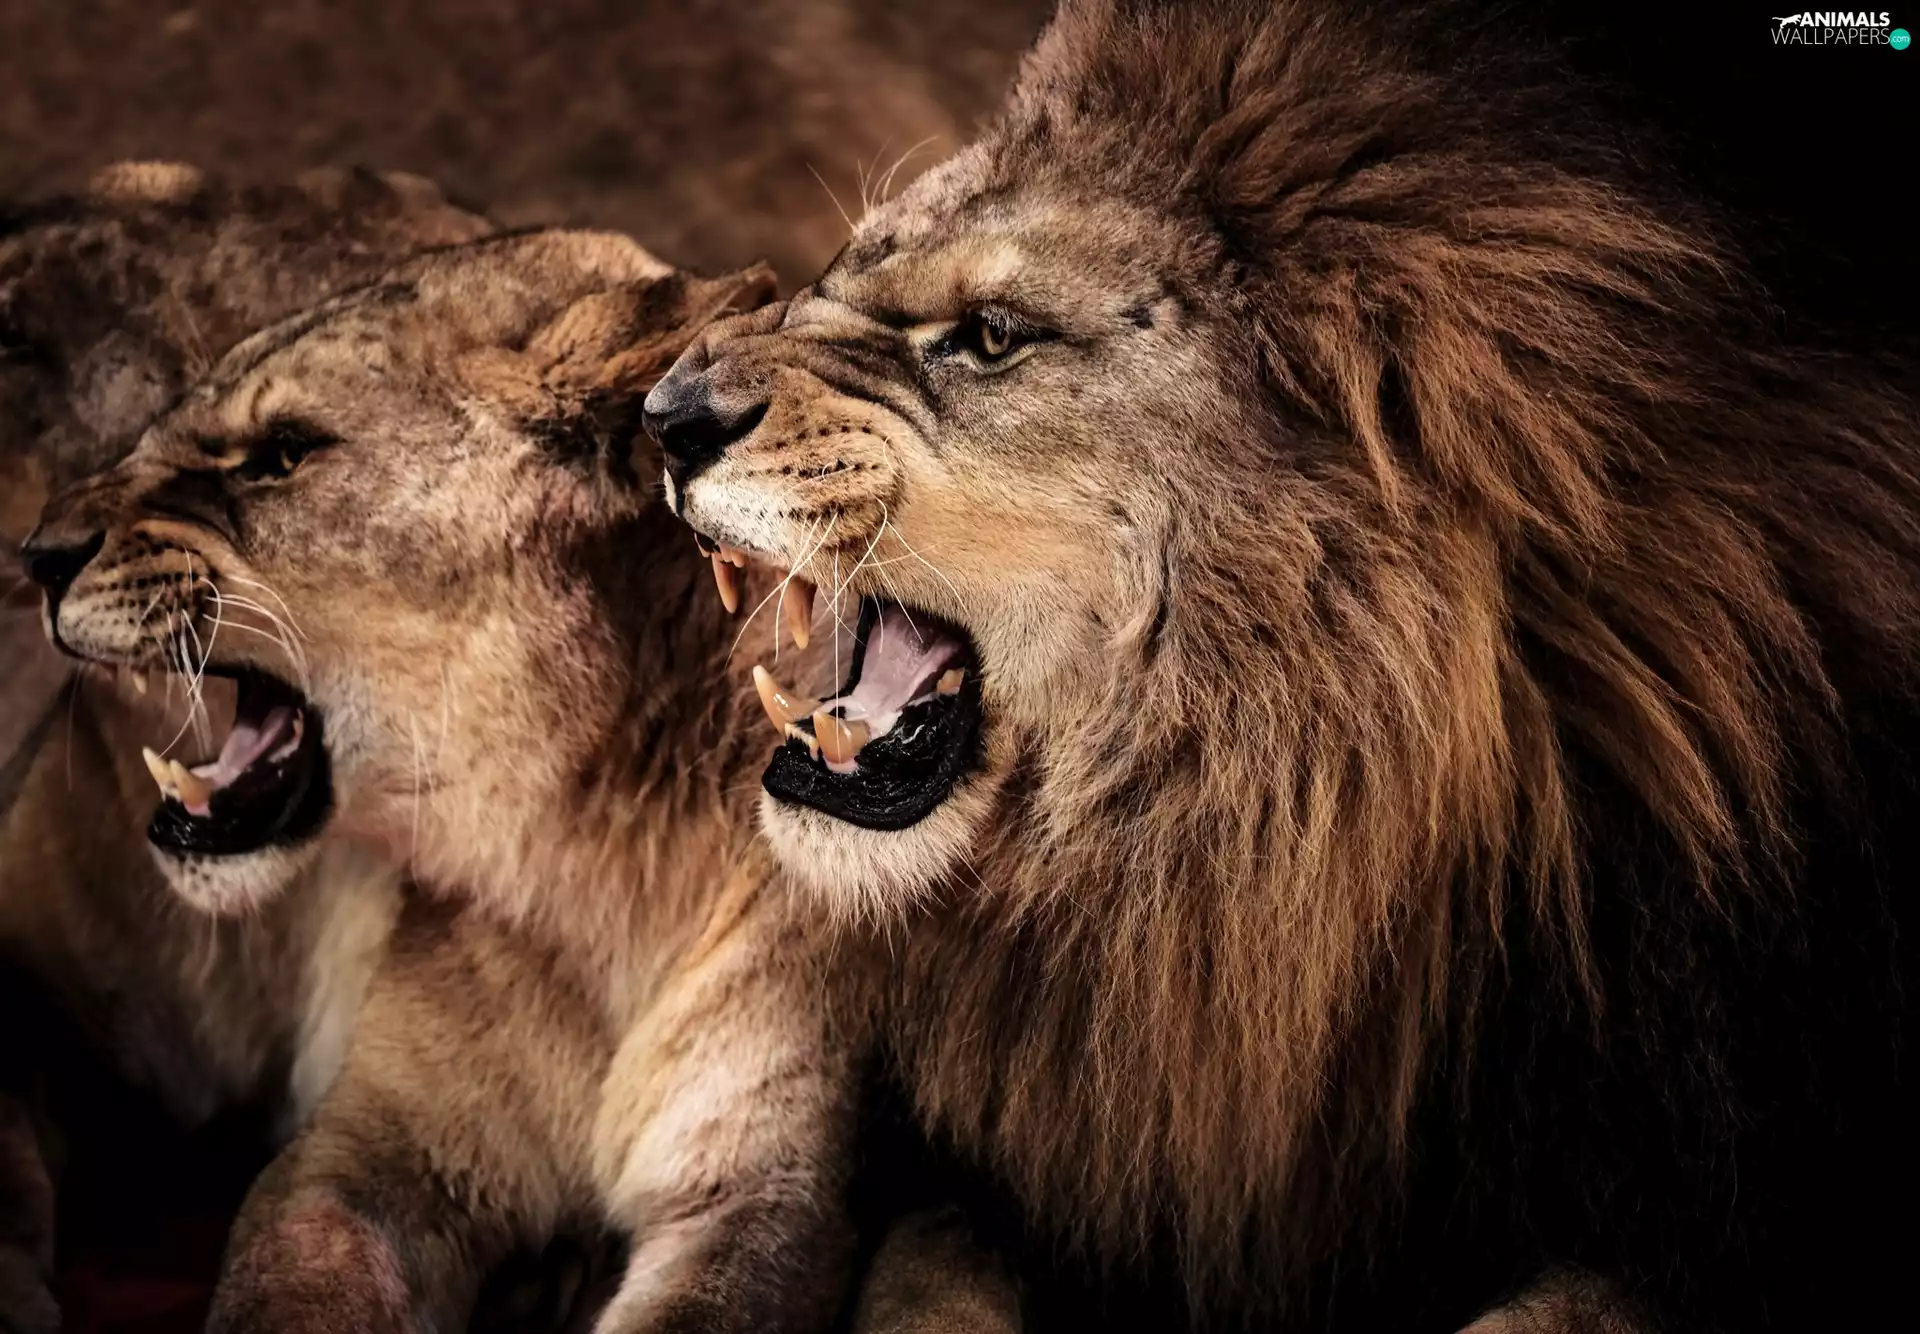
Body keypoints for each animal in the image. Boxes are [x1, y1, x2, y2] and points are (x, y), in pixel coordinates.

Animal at [23, 226, 1021, 1334]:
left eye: (281, 453)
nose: (37, 555)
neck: (594, 843)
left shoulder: (764, 1193)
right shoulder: (365, 1151)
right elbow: (292, 1286)